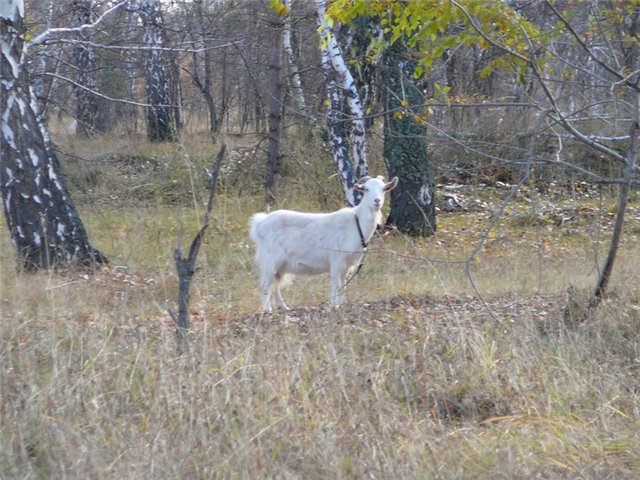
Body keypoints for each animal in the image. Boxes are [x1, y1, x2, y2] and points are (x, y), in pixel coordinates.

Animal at [249, 174, 396, 314]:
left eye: (384, 188)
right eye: (366, 189)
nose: (377, 201)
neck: (356, 223)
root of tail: (259, 223)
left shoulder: (346, 265)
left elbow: (343, 284)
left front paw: (341, 304)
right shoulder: (336, 259)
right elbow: (335, 284)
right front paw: (332, 305)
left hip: (280, 265)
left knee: (275, 284)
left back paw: (283, 307)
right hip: (269, 260)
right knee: (265, 284)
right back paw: (267, 310)